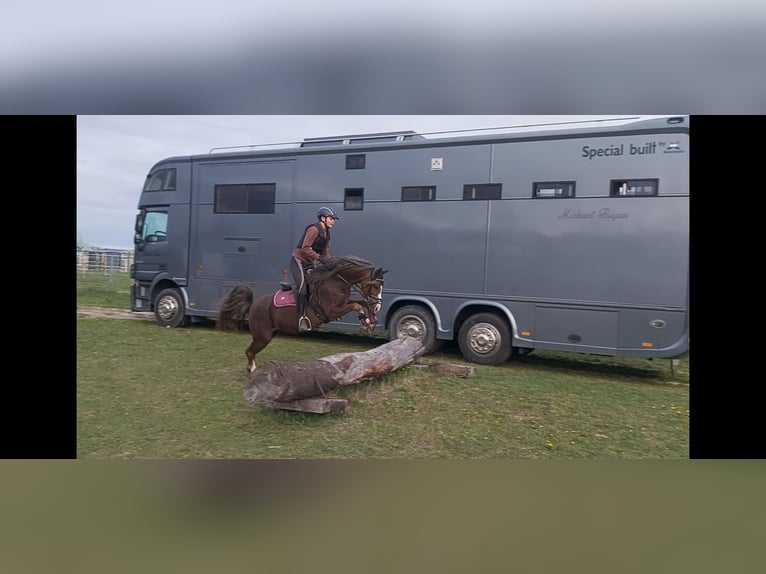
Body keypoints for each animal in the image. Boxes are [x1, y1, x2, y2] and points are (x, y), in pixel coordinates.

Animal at [214, 256, 388, 374]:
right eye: (376, 285)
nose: (378, 306)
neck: (337, 282)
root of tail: (253, 306)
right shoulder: (331, 311)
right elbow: (357, 305)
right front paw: (366, 321)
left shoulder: (344, 302)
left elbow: (361, 302)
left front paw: (371, 320)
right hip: (263, 336)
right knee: (249, 351)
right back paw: (252, 370)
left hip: (268, 334)